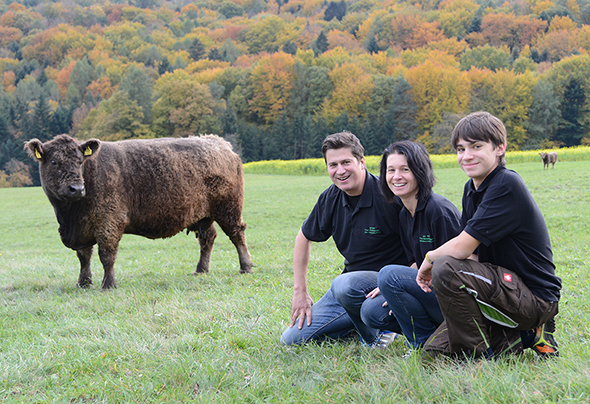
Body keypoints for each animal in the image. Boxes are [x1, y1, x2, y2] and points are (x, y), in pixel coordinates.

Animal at [26, 134, 254, 288]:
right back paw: (201, 270)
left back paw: (246, 267)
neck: (69, 216)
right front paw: (83, 282)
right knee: (208, 239)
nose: (76, 188)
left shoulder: (109, 222)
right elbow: (84, 257)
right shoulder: (84, 228)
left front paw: (108, 284)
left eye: (80, 161)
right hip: (204, 214)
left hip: (228, 208)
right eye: (54, 161)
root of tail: (217, 141)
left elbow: (106, 255)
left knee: (237, 234)